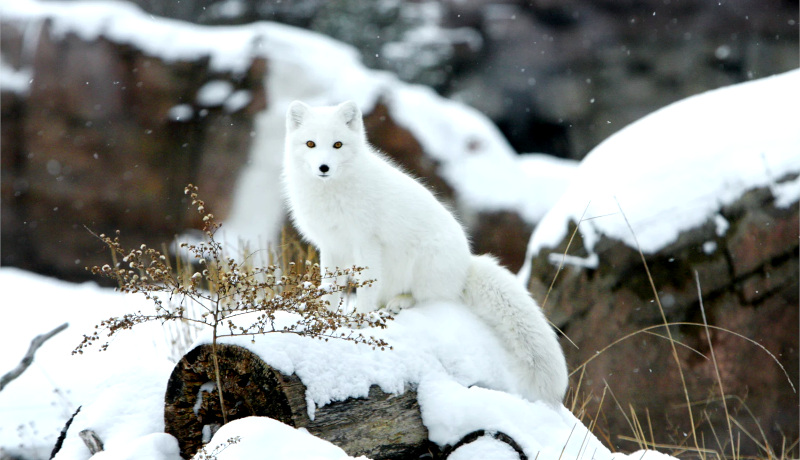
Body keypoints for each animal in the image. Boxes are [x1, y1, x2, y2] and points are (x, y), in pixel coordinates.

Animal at [282, 99, 568, 402]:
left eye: (337, 144)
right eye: (310, 143)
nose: (324, 167)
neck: (331, 194)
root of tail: (466, 267)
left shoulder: (367, 242)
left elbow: (366, 288)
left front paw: (359, 321)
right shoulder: (331, 246)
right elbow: (330, 288)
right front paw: (323, 318)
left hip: (423, 263)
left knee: (426, 298)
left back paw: (399, 302)